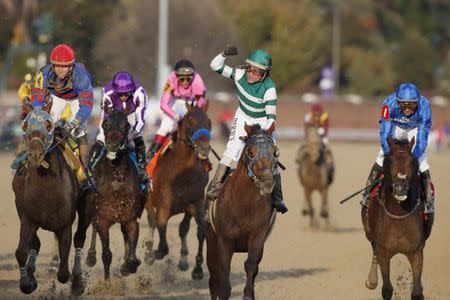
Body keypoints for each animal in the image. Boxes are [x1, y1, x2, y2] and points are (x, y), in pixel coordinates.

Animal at [11, 105, 88, 296]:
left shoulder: (64, 225)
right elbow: (21, 252)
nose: (35, 154)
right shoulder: (28, 218)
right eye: (25, 125)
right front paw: (27, 282)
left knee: (79, 238)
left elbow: (63, 271)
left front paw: (74, 281)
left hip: (87, 207)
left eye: (48, 124)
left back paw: (77, 281)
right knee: (36, 244)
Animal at [83, 109, 146, 280]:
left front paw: (128, 266)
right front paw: (107, 282)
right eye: (105, 123)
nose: (112, 145)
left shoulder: (131, 219)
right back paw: (90, 257)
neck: (116, 182)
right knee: (93, 228)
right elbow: (106, 255)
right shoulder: (103, 219)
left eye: (126, 125)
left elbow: (132, 257)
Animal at [144, 102, 213, 280]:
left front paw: (197, 269)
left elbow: (199, 231)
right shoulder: (164, 205)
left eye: (209, 122)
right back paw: (149, 250)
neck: (183, 172)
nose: (204, 148)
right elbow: (161, 235)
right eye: (190, 122)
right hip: (149, 201)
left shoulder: (196, 204)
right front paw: (154, 253)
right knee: (152, 221)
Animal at [207, 122, 278, 300]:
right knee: (213, 277)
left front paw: (247, 295)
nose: (267, 182)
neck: (244, 205)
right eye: (251, 151)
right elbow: (223, 275)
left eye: (274, 151)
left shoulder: (257, 236)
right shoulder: (224, 240)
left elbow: (251, 265)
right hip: (210, 240)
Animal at [360, 138, 430, 300]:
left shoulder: (416, 252)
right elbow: (387, 289)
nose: (400, 189)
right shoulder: (383, 250)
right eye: (390, 160)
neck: (398, 213)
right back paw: (371, 281)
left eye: (412, 161)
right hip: (371, 236)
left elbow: (417, 292)